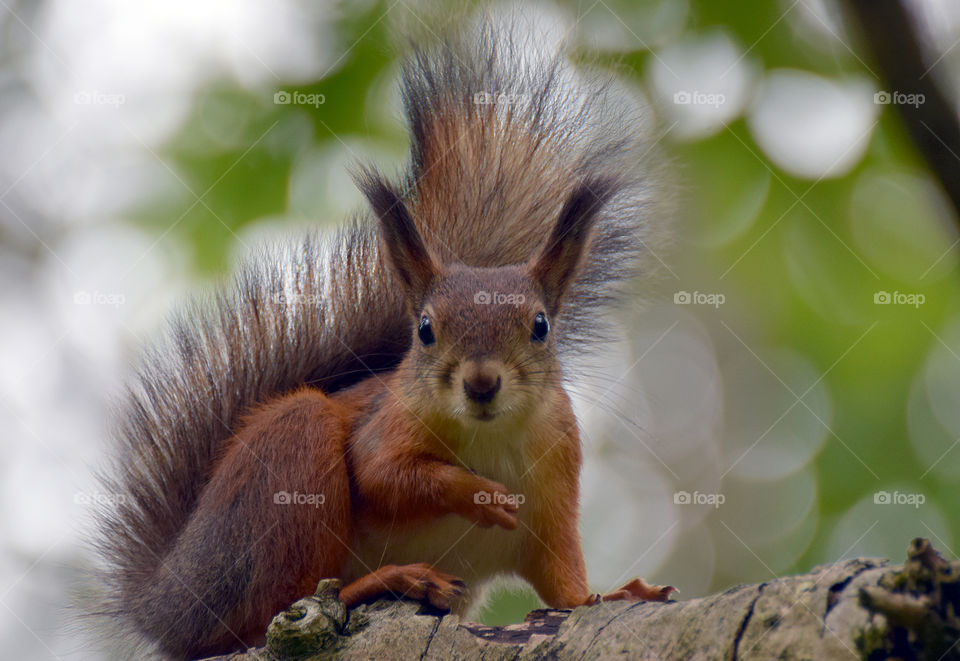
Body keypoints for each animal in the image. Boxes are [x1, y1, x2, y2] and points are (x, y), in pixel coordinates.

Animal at [91, 15, 673, 660]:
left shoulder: (553, 496)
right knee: (268, 614)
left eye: (541, 326)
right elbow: (383, 476)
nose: (481, 383)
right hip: (288, 466)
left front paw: (615, 594)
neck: (489, 437)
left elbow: (564, 584)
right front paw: (478, 494)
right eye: (424, 330)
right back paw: (387, 581)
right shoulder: (385, 424)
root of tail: (169, 604)